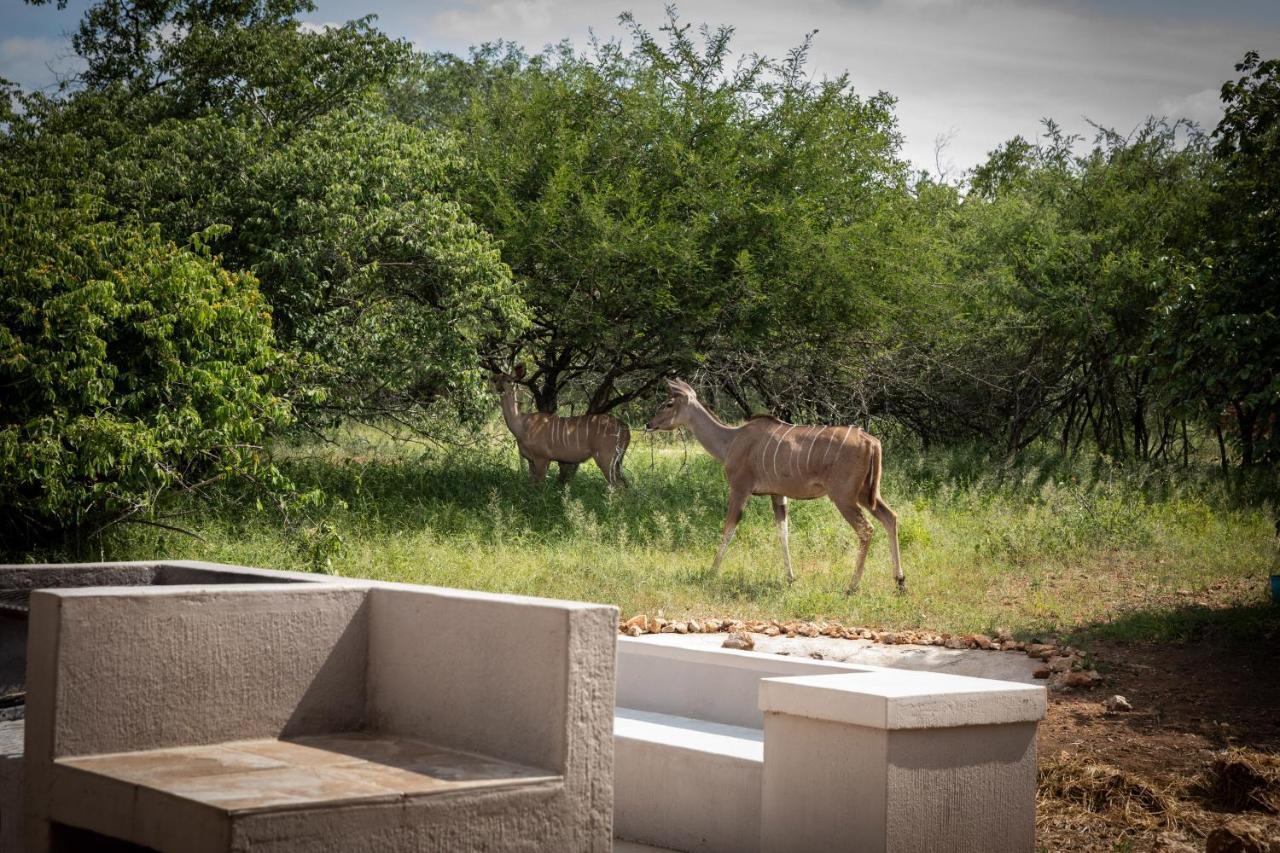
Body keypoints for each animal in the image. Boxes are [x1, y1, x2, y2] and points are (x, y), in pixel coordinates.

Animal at [488, 363, 629, 484]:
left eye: (509, 380)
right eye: (495, 380)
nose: (500, 389)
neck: (522, 426)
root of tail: (625, 429)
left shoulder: (542, 458)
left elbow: (539, 485)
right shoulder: (530, 460)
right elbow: (532, 483)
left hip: (606, 457)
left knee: (617, 484)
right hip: (617, 461)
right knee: (625, 483)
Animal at [645, 379, 906, 591]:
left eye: (668, 403)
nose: (649, 424)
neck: (730, 441)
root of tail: (871, 441)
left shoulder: (740, 489)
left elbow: (729, 527)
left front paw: (711, 573)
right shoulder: (777, 494)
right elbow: (783, 531)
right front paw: (790, 578)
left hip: (844, 496)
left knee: (866, 529)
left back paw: (852, 587)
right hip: (866, 494)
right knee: (890, 517)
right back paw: (900, 582)